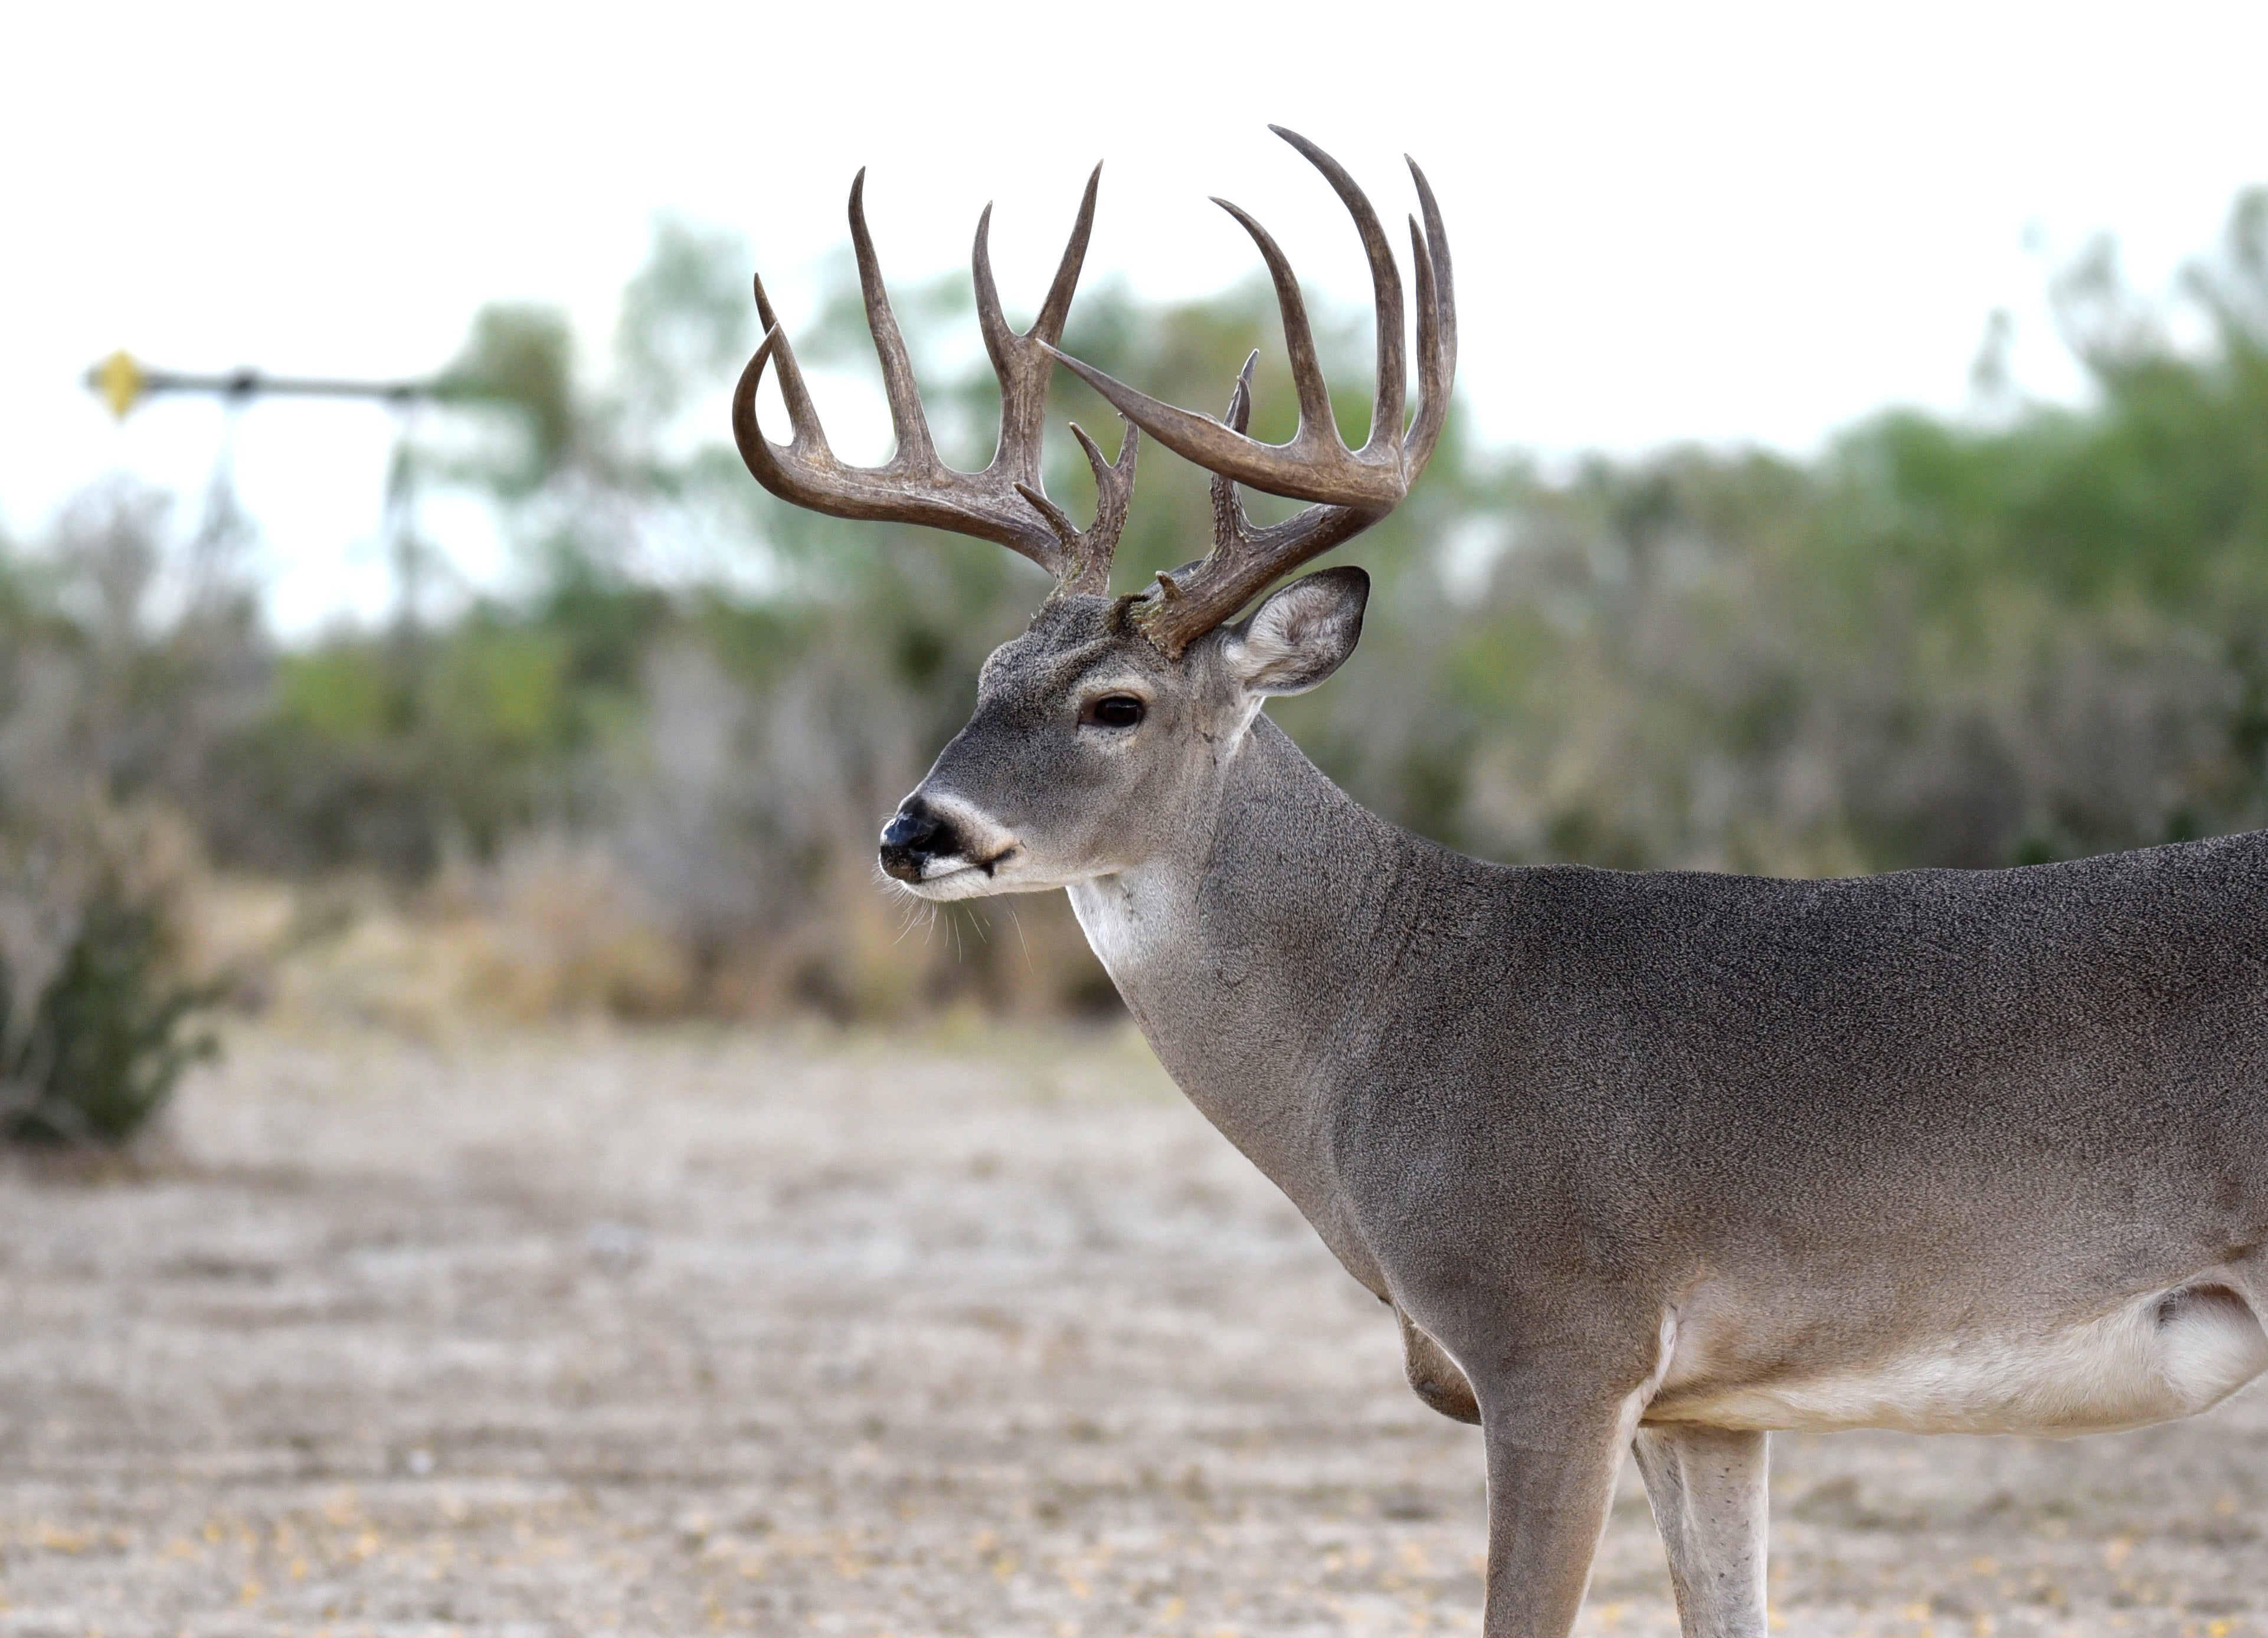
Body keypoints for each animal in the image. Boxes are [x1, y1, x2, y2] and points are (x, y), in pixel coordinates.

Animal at [732, 128, 2268, 1638]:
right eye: (986, 675)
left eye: (1116, 703)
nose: (913, 830)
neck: (1385, 1014)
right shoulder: (1709, 1403)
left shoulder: (1558, 1331)